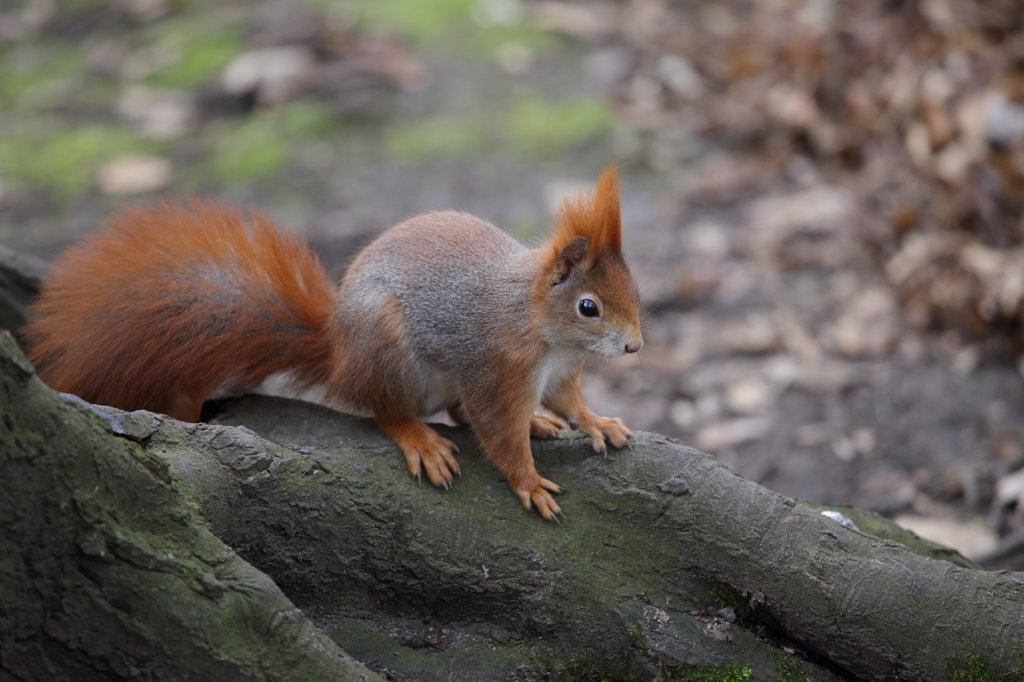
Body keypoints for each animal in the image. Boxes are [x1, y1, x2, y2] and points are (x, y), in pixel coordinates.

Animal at [25, 165, 638, 520]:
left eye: (636, 290)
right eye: (589, 307)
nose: (634, 348)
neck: (544, 330)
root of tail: (340, 356)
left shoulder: (558, 374)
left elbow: (570, 402)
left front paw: (598, 422)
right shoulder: (495, 368)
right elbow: (495, 429)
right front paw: (529, 482)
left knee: (455, 411)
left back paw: (534, 421)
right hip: (389, 356)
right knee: (389, 410)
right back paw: (421, 439)